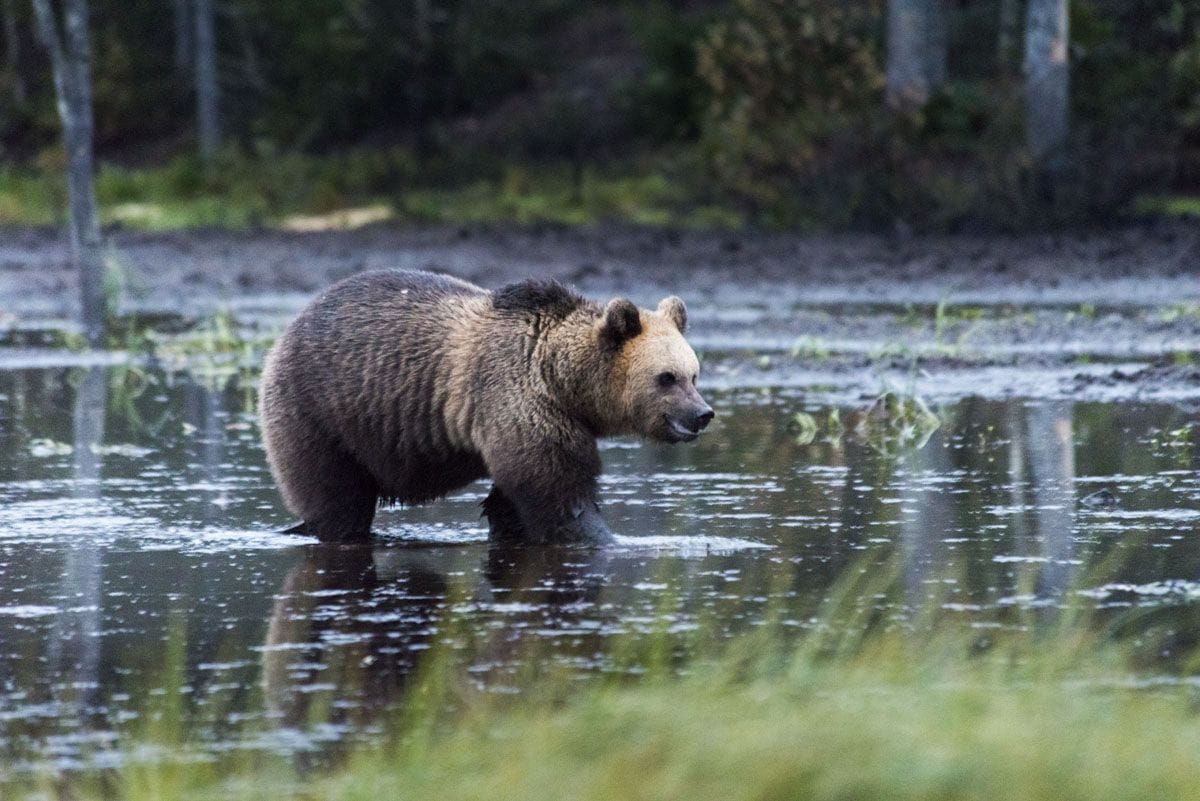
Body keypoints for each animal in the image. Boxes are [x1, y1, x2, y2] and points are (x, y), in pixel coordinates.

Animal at [260, 270, 710, 544]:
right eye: (666, 377)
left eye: (694, 375)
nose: (702, 415)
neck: (560, 378)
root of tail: (288, 329)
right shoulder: (516, 398)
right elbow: (559, 492)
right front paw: (605, 537)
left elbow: (511, 502)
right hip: (321, 410)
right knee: (336, 499)